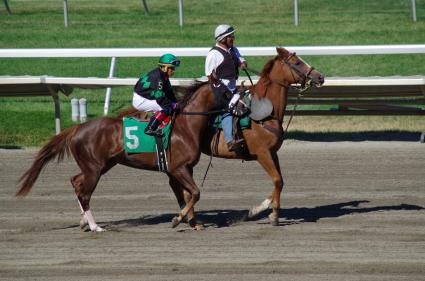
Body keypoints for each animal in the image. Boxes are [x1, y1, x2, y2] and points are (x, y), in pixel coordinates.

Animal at [14, 47, 322, 230]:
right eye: (296, 61)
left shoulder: (270, 153)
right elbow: (274, 181)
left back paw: (84, 221)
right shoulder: (260, 153)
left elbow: (277, 182)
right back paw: (94, 225)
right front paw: (270, 214)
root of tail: (78, 129)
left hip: (101, 165)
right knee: (83, 189)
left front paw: (262, 209)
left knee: (77, 183)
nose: (319, 77)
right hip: (95, 167)